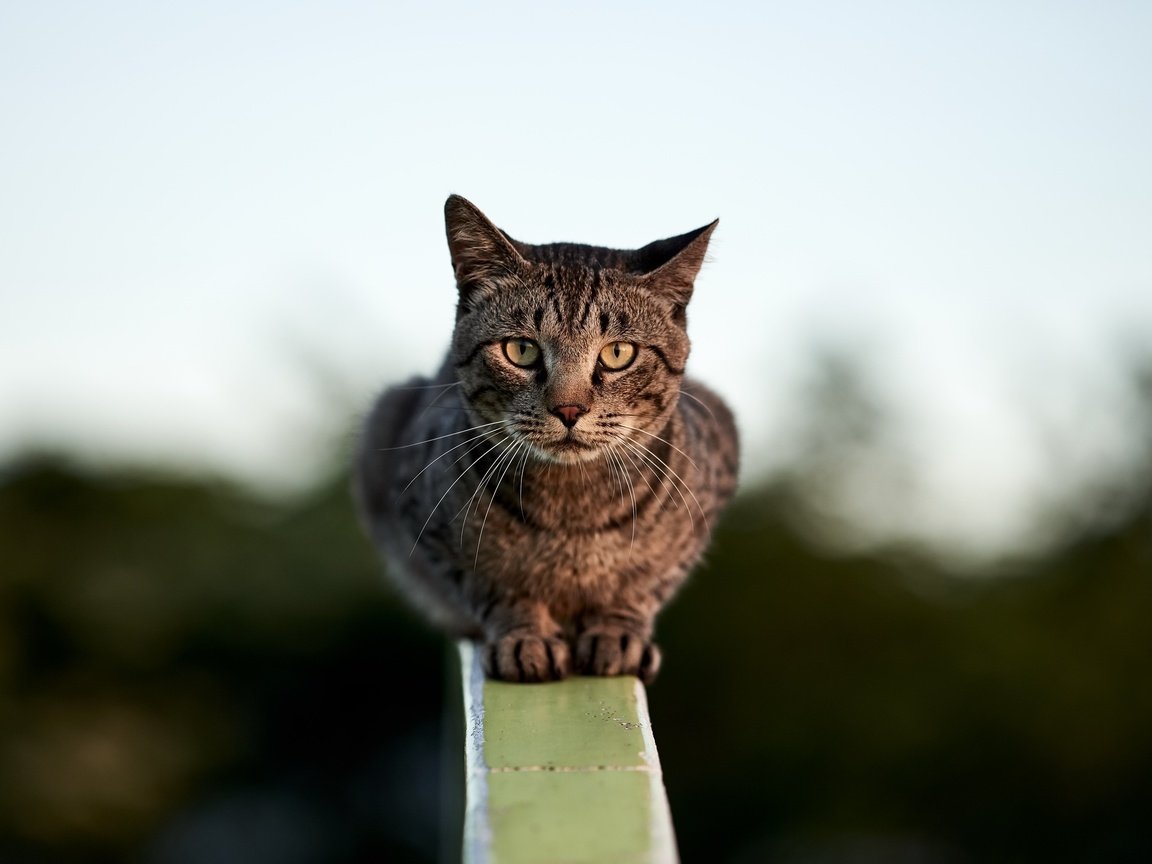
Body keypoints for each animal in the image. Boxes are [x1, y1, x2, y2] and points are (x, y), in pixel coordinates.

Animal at [354, 194, 741, 681]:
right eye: (521, 350)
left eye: (618, 353)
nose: (569, 409)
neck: (571, 515)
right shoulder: (427, 526)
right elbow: (496, 587)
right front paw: (525, 637)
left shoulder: (701, 509)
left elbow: (642, 587)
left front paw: (618, 632)